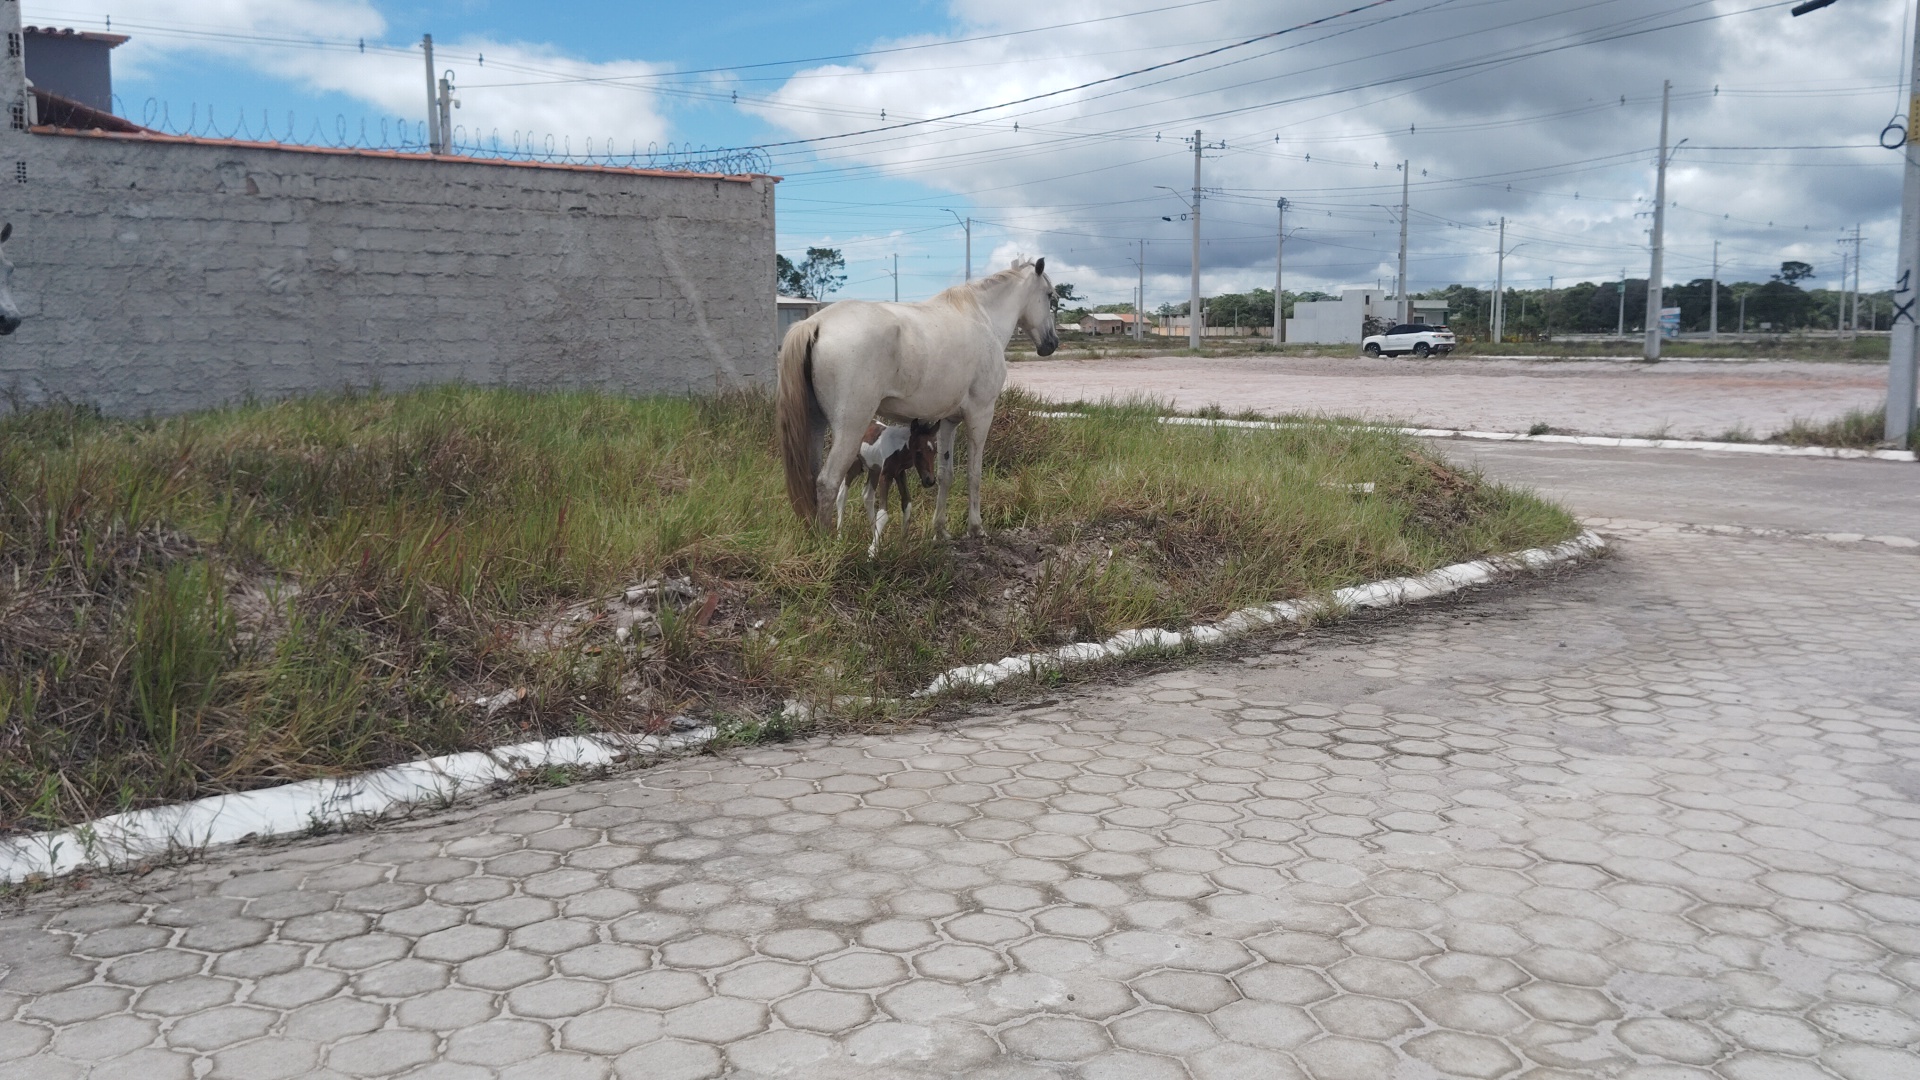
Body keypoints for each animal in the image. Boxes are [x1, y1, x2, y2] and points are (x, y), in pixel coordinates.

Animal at [777, 257, 1058, 536]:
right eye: (1049, 296)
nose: (1052, 343)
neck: (983, 317)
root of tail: (816, 324)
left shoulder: (948, 422)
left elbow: (946, 474)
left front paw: (940, 530)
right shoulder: (980, 415)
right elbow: (974, 474)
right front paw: (976, 527)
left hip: (815, 423)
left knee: (811, 477)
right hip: (850, 428)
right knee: (828, 481)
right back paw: (826, 539)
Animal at [835, 420, 939, 557]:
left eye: (935, 452)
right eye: (918, 452)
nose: (930, 480)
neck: (899, 448)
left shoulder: (899, 473)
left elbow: (907, 504)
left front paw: (902, 547)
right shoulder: (885, 475)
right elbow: (883, 513)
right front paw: (872, 552)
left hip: (874, 469)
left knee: (867, 495)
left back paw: (875, 536)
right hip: (855, 464)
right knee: (842, 495)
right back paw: (839, 538)